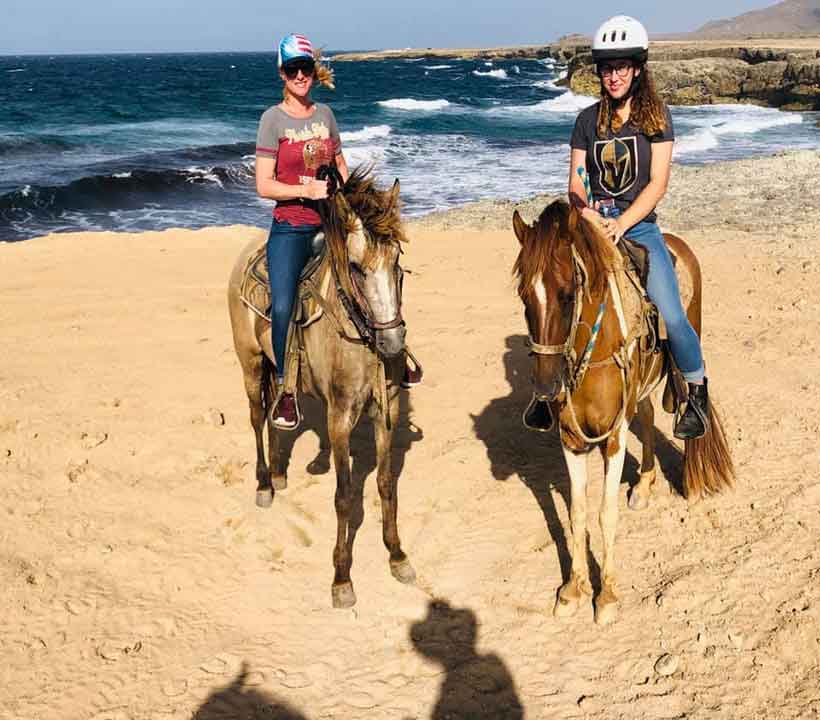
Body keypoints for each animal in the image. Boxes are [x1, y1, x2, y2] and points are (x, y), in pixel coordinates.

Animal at [226, 169, 414, 608]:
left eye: (397, 261)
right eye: (357, 268)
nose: (393, 343)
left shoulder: (387, 412)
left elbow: (386, 485)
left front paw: (396, 555)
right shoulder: (339, 418)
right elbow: (344, 496)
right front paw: (341, 577)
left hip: (276, 369)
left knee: (277, 409)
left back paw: (280, 472)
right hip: (250, 363)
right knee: (257, 417)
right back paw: (265, 483)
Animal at [510, 198, 732, 624]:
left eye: (567, 294)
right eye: (523, 295)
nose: (546, 388)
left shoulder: (612, 438)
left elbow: (605, 512)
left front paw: (607, 594)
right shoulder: (571, 438)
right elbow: (578, 513)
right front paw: (573, 589)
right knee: (645, 417)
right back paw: (644, 484)